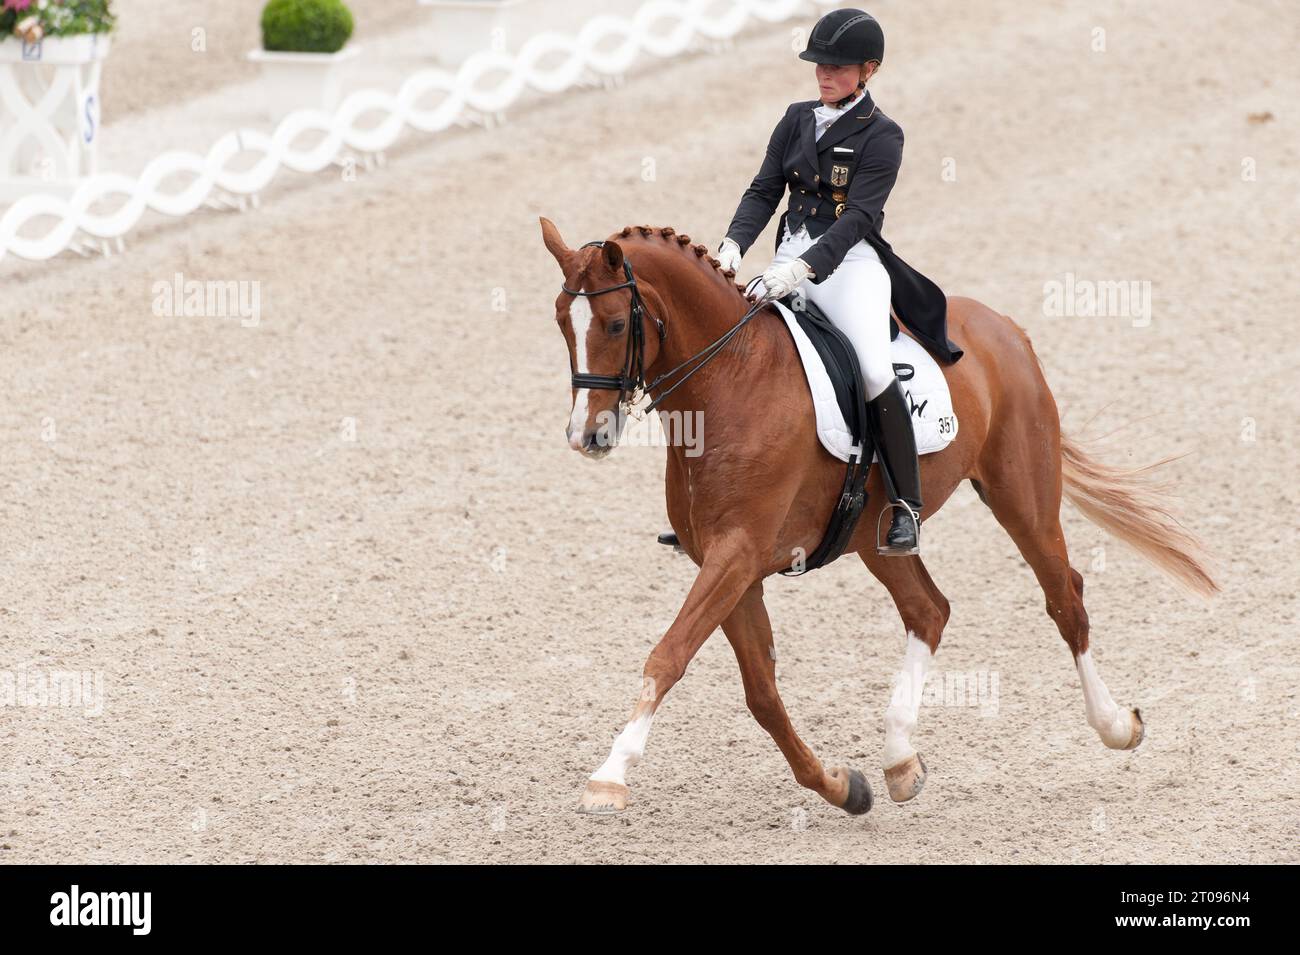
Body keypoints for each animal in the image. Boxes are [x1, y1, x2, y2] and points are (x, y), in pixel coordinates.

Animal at [540, 220, 1216, 815]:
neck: (730, 383)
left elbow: (669, 655)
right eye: (560, 321)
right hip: (876, 536)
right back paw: (899, 761)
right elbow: (761, 693)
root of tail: (1003, 327)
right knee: (929, 610)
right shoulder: (729, 565)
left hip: (1022, 498)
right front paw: (843, 787)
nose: (586, 435)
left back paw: (1117, 726)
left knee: (1064, 600)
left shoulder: (737, 554)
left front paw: (609, 777)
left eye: (617, 323)